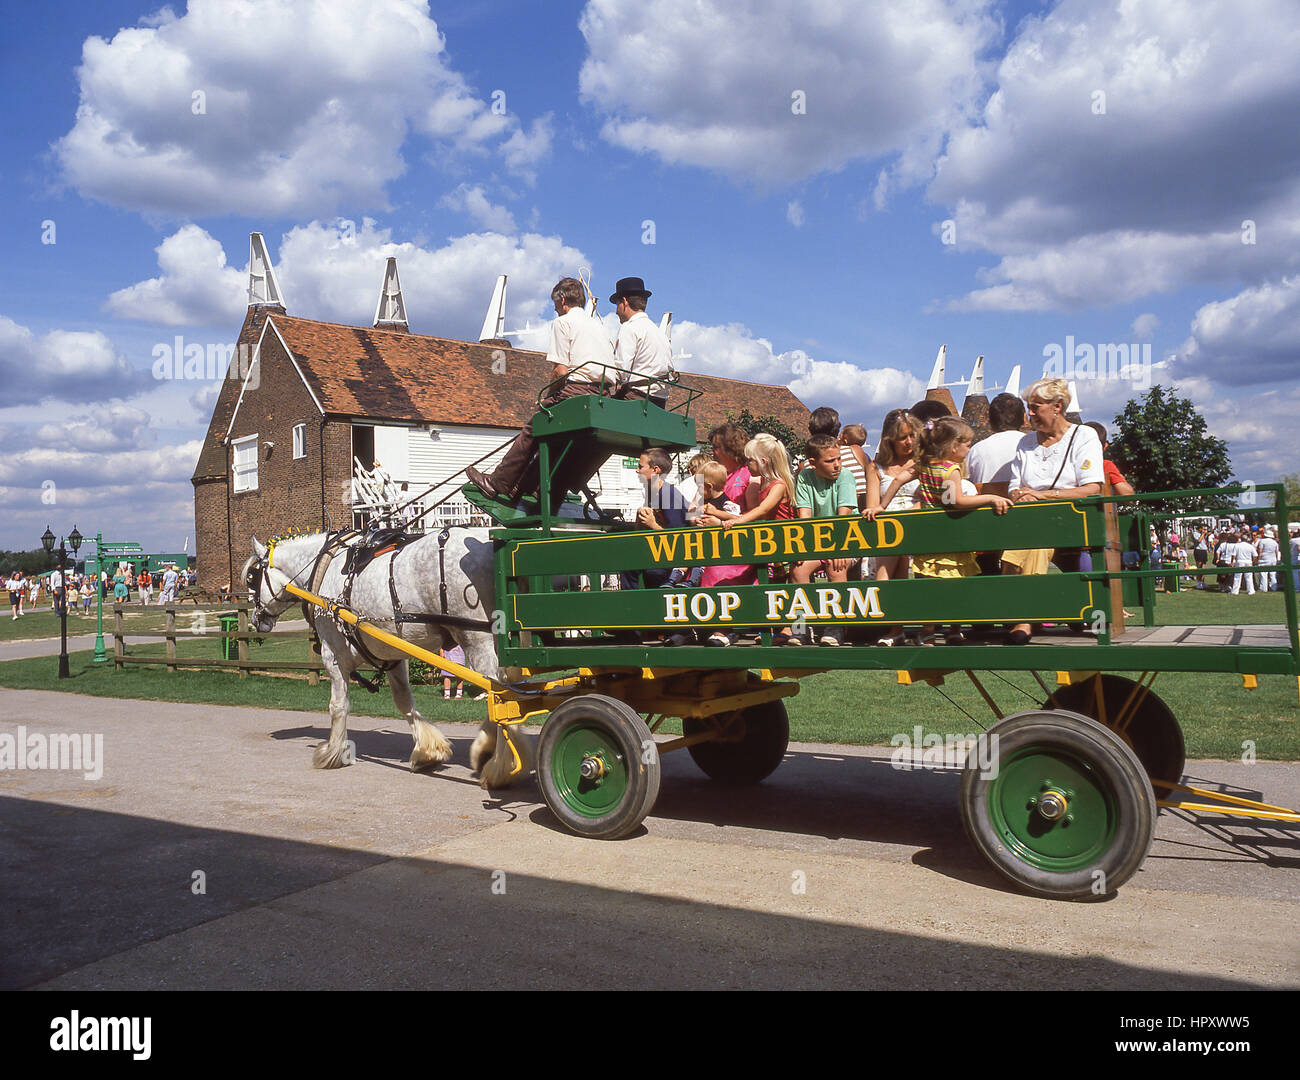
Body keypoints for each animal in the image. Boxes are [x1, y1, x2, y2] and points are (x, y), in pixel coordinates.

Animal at [241, 530, 530, 784]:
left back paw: (496, 763)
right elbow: (403, 701)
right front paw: (427, 751)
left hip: (477, 639)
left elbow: (338, 706)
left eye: (251, 578)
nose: (256, 619)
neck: (324, 567)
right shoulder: (392, 654)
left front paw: (333, 753)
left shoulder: (333, 655)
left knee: (500, 698)